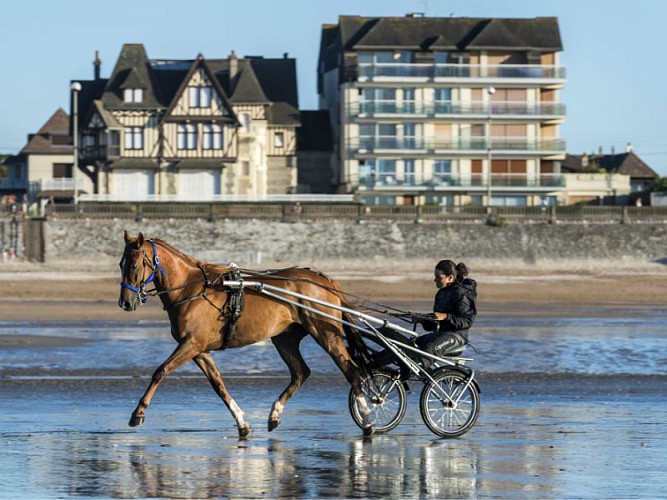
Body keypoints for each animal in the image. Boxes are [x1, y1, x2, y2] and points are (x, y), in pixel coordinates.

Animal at [118, 231, 376, 438]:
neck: (191, 288)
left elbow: (160, 371)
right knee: (301, 372)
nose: (125, 302)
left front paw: (138, 413)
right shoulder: (199, 349)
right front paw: (242, 423)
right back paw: (274, 414)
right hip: (284, 338)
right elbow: (218, 385)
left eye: (134, 265)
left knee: (352, 370)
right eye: (121, 264)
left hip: (325, 333)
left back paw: (367, 418)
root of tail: (325, 280)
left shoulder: (192, 344)